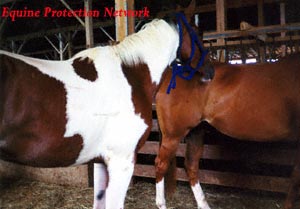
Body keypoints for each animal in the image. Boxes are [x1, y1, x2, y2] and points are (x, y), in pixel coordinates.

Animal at [155, 54, 300, 209]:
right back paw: (161, 203)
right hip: (173, 135)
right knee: (161, 164)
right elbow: (296, 179)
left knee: (191, 164)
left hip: (196, 131)